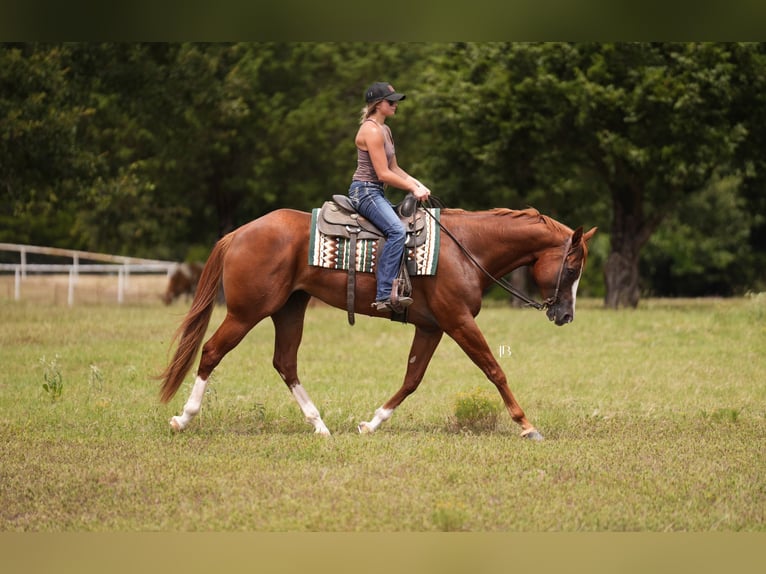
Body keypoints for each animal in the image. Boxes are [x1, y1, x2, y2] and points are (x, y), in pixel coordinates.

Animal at [158, 206, 596, 440]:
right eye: (573, 268)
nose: (566, 315)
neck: (465, 248)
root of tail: (238, 233)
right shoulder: (457, 322)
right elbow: (494, 369)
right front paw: (526, 425)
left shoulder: (432, 327)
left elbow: (412, 379)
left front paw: (372, 423)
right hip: (246, 312)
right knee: (212, 351)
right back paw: (183, 418)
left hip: (289, 309)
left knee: (285, 363)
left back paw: (319, 425)